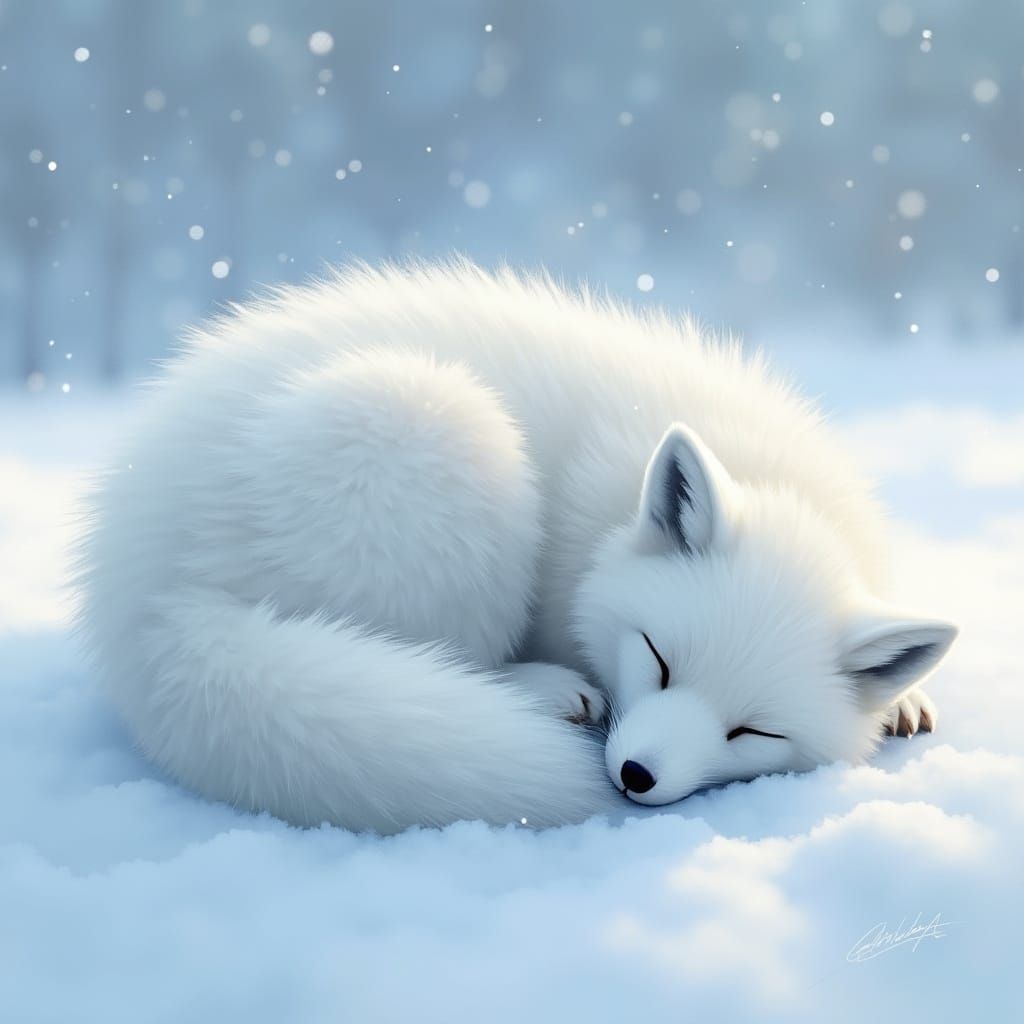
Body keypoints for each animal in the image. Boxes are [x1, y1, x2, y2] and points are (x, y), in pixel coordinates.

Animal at [74, 260, 957, 832]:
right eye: (659, 660)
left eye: (754, 733)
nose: (635, 776)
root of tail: (143, 597)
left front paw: (901, 699)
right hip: (439, 427)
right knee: (432, 653)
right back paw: (543, 692)